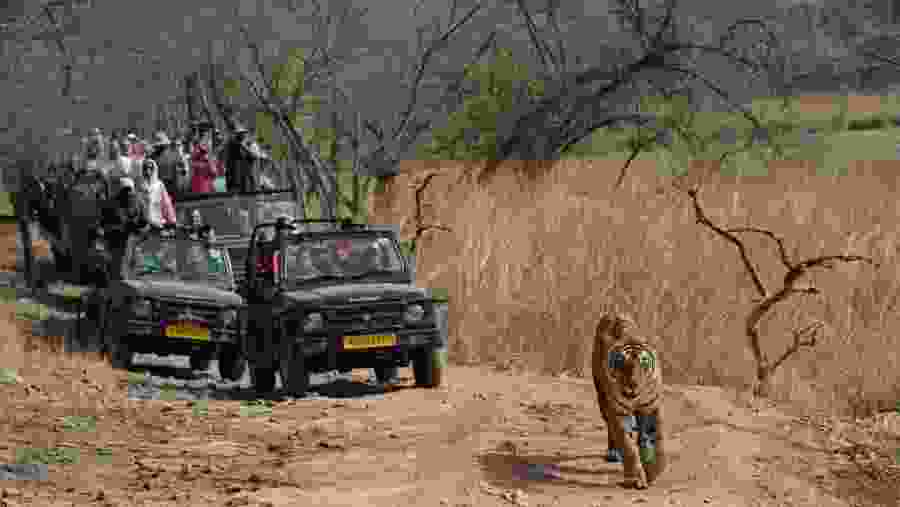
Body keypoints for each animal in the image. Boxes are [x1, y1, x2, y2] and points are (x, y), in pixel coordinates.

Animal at [592, 313, 666, 489]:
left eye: (643, 362)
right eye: (621, 362)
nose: (633, 384)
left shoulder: (650, 408)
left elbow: (654, 439)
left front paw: (654, 471)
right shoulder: (618, 411)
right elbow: (627, 444)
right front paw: (635, 479)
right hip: (602, 397)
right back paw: (613, 453)